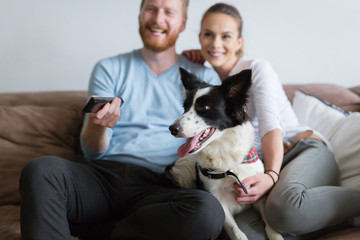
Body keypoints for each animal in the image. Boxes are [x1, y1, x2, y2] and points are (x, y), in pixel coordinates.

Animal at [167, 67, 282, 240]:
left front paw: (275, 234)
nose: (172, 129)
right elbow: (237, 232)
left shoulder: (256, 193)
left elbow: (269, 219)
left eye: (205, 108)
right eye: (185, 108)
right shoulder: (217, 199)